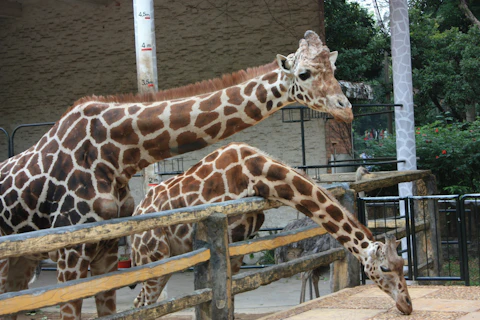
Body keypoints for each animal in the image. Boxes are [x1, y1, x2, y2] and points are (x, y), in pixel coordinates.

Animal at [0, 30, 352, 320]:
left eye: (334, 71)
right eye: (304, 73)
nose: (346, 108)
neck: (115, 153)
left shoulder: (108, 247)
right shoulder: (70, 251)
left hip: (24, 263)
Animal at [131, 143, 412, 316]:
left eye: (402, 265)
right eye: (385, 268)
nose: (407, 305)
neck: (257, 173)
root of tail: (136, 215)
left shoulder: (237, 247)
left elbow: (228, 297)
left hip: (164, 262)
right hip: (153, 256)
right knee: (143, 303)